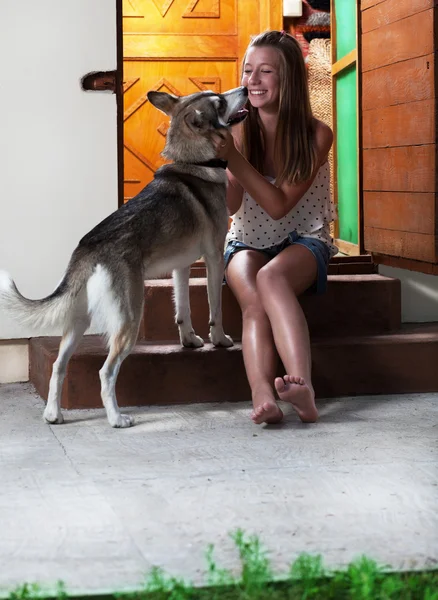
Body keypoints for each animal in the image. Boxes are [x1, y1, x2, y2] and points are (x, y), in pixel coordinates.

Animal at [0, 86, 248, 428]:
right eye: (221, 103)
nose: (246, 88)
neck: (193, 162)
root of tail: (88, 248)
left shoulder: (182, 266)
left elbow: (182, 309)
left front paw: (189, 340)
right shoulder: (212, 258)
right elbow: (216, 308)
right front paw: (220, 339)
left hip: (77, 323)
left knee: (58, 366)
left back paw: (53, 414)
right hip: (129, 320)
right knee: (106, 372)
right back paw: (116, 418)